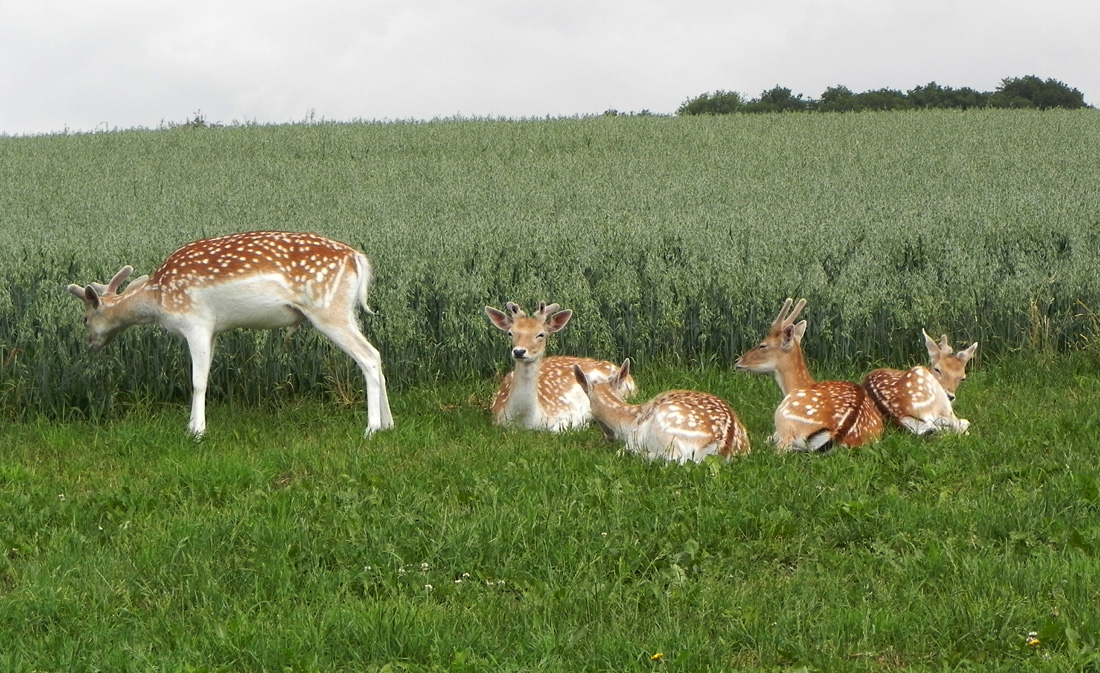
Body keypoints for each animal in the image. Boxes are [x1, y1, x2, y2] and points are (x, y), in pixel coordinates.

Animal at [66, 229, 393, 435]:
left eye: (84, 318)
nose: (89, 344)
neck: (159, 298)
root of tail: (358, 259)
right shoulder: (214, 330)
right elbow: (206, 377)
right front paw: (194, 425)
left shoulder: (195, 322)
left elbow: (197, 381)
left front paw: (196, 431)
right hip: (346, 310)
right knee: (377, 355)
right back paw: (389, 424)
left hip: (327, 308)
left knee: (367, 357)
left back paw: (371, 428)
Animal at [484, 301, 638, 431]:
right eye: (510, 333)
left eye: (541, 334)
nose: (519, 351)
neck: (526, 420)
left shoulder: (567, 412)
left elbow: (559, 428)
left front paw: (584, 424)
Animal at [576, 360, 748, 466]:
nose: (608, 437)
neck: (628, 421)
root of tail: (723, 448)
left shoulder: (634, 438)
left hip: (667, 430)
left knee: (676, 459)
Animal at [730, 299, 884, 453]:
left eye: (763, 345)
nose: (737, 361)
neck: (801, 384)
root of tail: (837, 434)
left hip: (783, 415)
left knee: (780, 448)